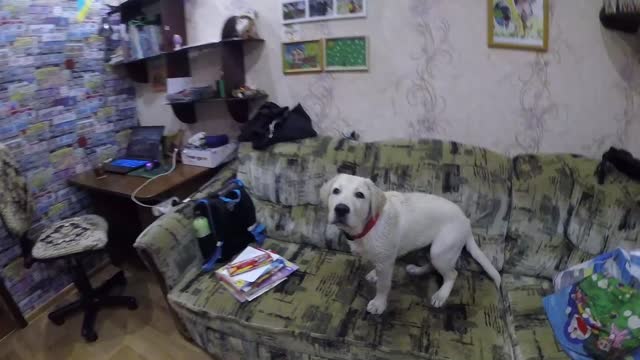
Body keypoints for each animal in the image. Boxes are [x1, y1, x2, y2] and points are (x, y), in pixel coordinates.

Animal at [320, 174, 500, 316]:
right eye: (336, 191)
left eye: (360, 195)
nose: (341, 209)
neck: (369, 224)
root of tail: (466, 220)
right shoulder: (383, 259)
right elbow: (378, 270)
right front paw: (374, 274)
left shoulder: (386, 262)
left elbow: (383, 285)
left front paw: (379, 304)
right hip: (430, 248)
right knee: (432, 265)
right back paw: (417, 270)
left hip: (441, 251)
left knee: (452, 274)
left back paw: (441, 295)